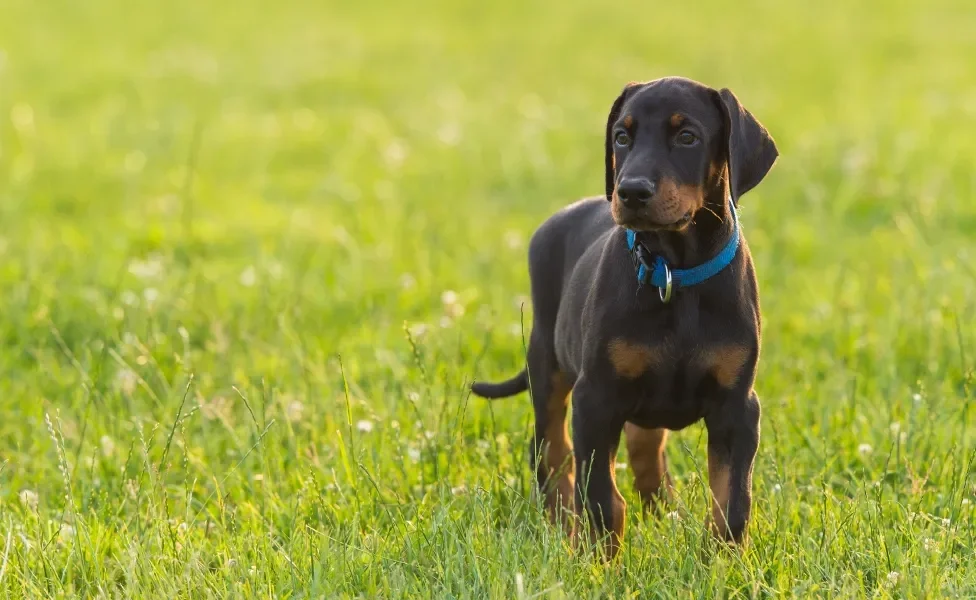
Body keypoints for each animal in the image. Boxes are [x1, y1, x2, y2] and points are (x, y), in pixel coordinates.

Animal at [470, 76, 776, 556]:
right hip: (548, 367)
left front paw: (722, 562)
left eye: (687, 137)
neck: (674, 271)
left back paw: (665, 513)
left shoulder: (737, 405)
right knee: (552, 454)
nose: (630, 191)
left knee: (644, 449)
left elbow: (732, 500)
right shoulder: (596, 397)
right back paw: (563, 530)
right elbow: (600, 496)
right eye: (621, 137)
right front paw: (598, 560)